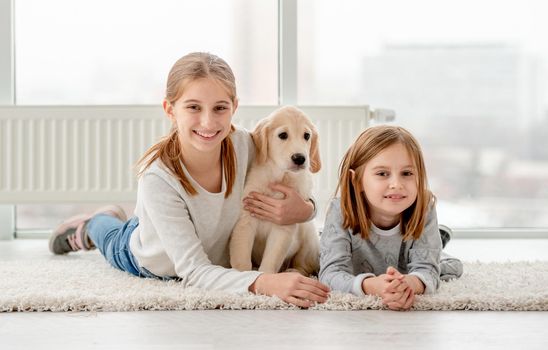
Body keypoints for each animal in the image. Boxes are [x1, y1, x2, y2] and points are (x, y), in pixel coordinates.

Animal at [230, 105, 324, 274]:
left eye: (307, 136)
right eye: (283, 135)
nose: (300, 158)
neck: (280, 176)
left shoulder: (285, 224)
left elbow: (271, 260)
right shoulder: (246, 219)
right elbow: (242, 260)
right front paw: (243, 274)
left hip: (307, 233)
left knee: (304, 266)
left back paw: (292, 271)